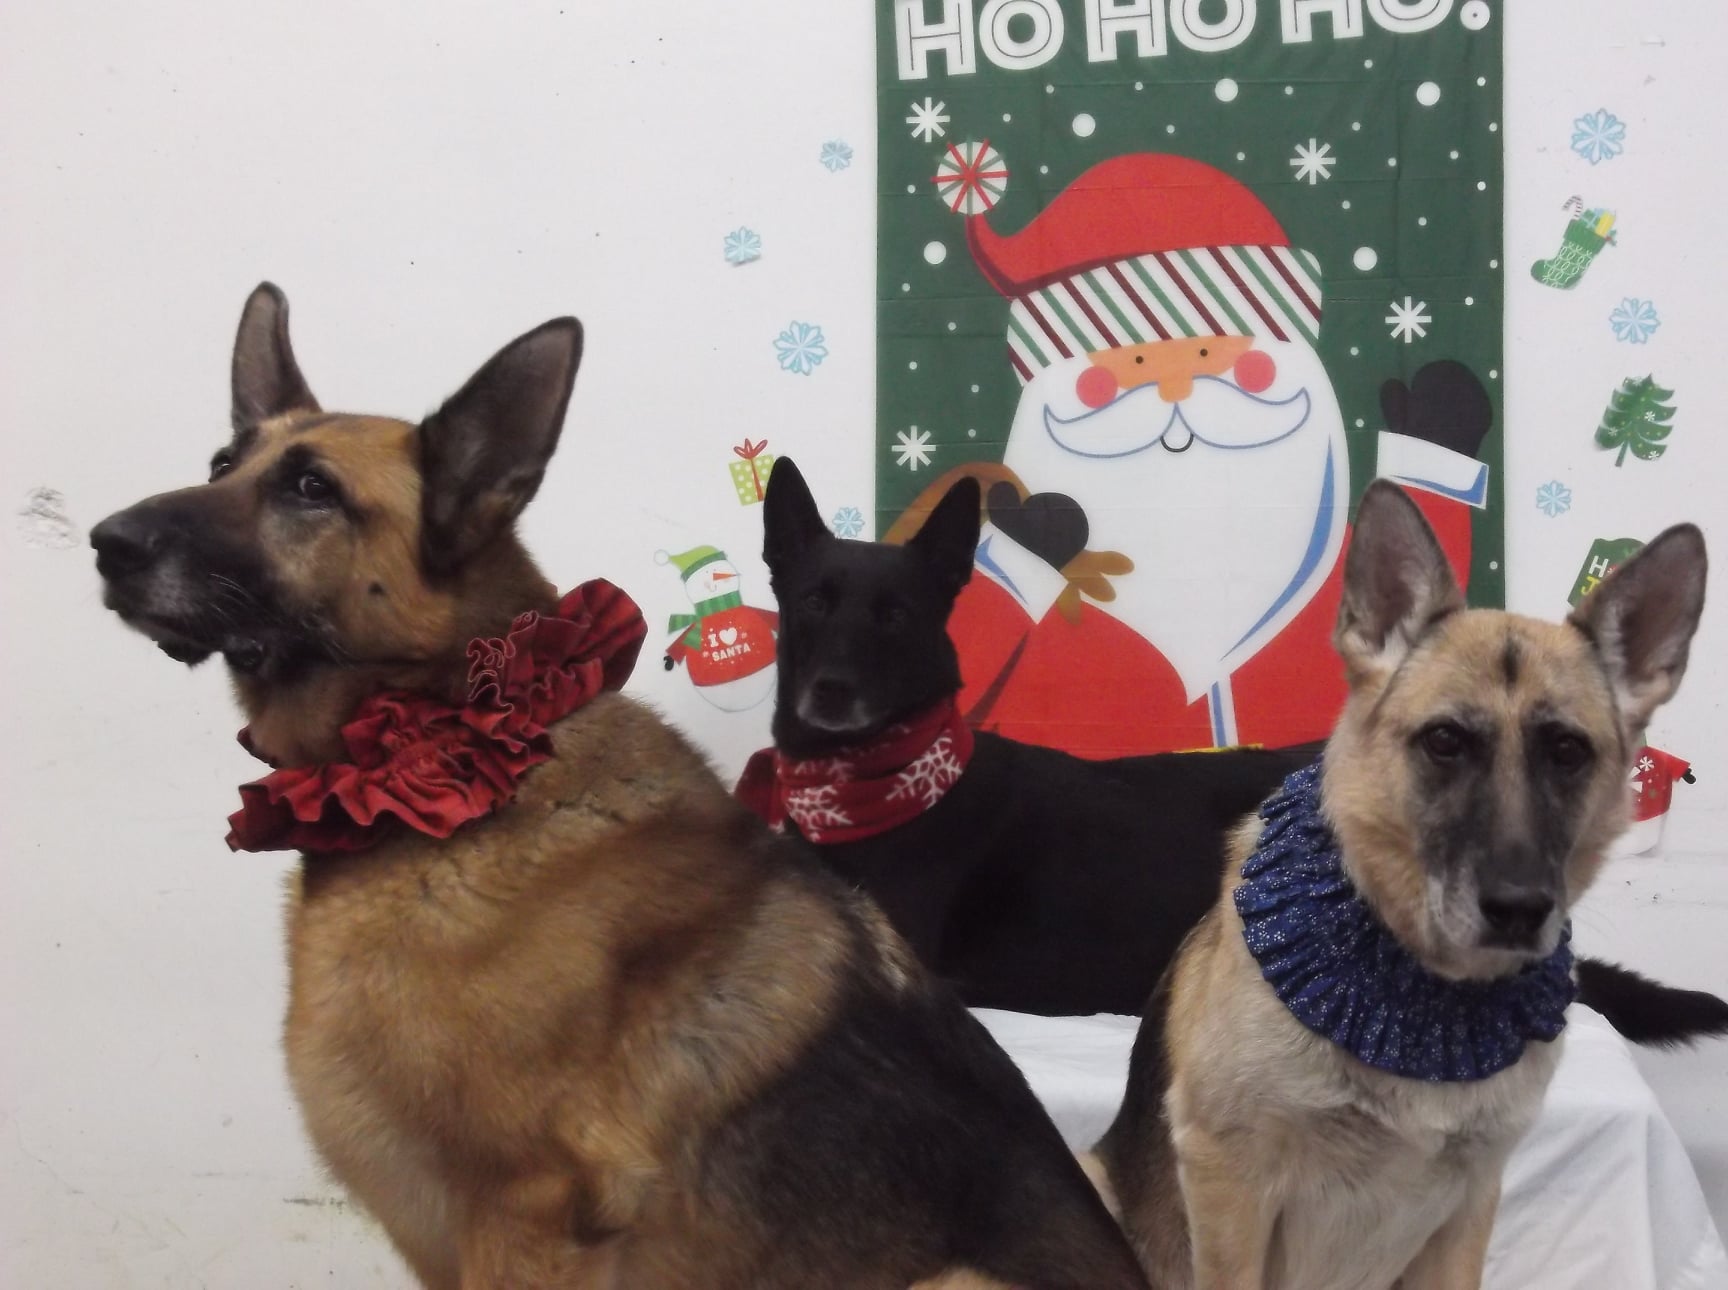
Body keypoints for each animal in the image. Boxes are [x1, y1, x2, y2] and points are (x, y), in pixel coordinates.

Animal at [1093, 480, 1708, 1289]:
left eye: (1568, 752)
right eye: (1445, 741)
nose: (1519, 911)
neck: (1409, 977)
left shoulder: (1471, 1205)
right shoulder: (1228, 1182)